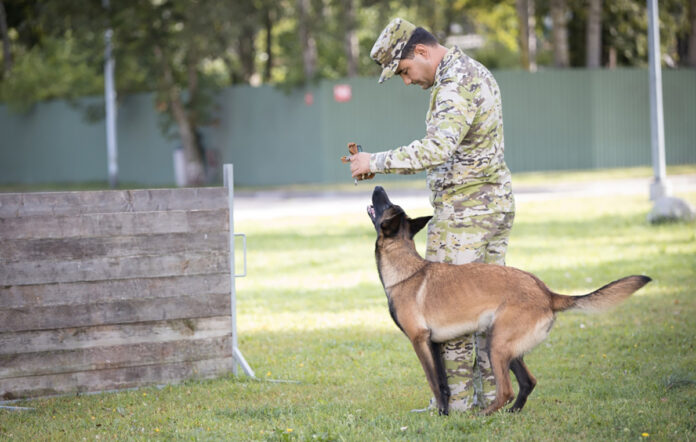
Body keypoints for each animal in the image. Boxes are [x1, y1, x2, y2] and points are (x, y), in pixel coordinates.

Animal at [370, 185, 652, 416]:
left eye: (386, 204)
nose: (377, 186)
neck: (405, 268)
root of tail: (547, 293)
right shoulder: (434, 343)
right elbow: (443, 382)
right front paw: (445, 412)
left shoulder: (420, 341)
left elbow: (434, 382)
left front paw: (441, 414)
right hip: (505, 345)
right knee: (528, 382)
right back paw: (512, 414)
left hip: (495, 345)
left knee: (506, 390)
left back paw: (483, 416)